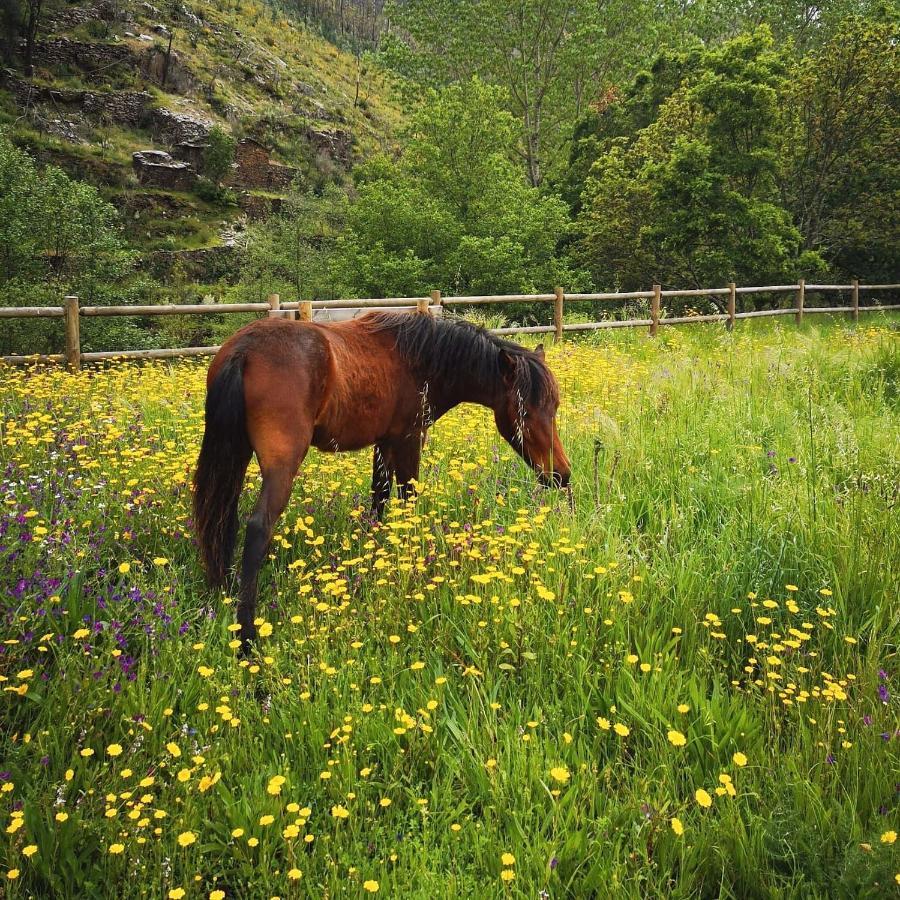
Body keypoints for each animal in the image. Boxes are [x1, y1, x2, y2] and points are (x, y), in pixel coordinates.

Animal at [192, 310, 568, 648]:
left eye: (554, 407)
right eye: (525, 412)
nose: (561, 475)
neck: (420, 359)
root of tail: (245, 349)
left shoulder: (384, 444)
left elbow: (380, 500)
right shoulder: (408, 441)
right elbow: (408, 501)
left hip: (236, 456)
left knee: (222, 516)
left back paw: (225, 591)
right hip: (281, 466)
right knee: (258, 528)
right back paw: (247, 636)